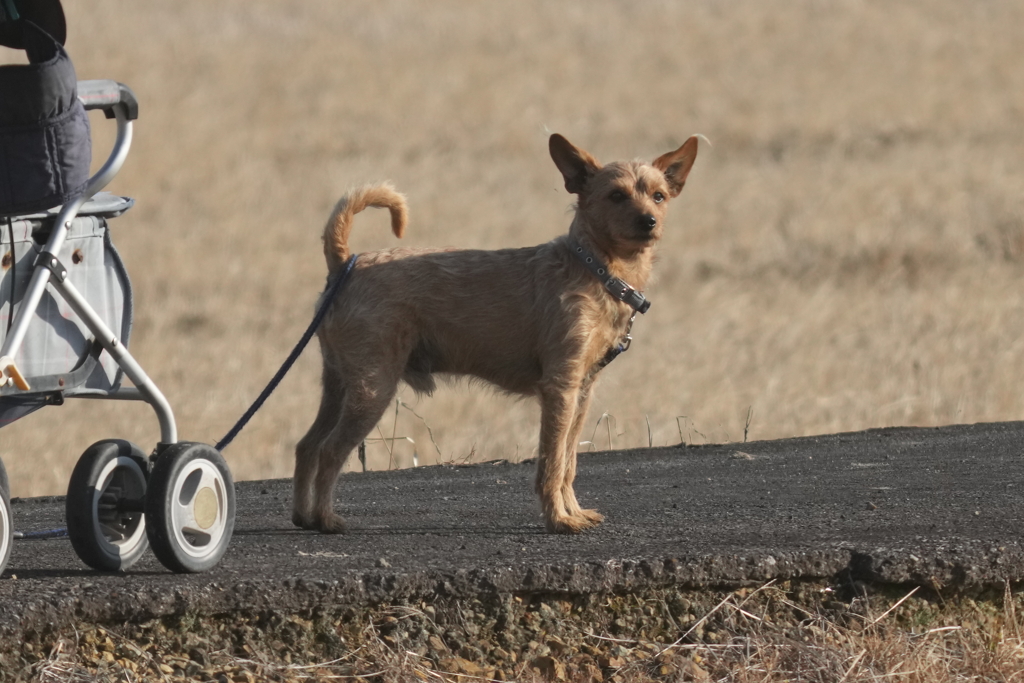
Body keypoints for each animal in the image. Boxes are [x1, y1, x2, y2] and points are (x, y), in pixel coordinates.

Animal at [292, 133, 700, 532]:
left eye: (659, 195)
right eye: (616, 195)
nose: (648, 221)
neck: (594, 269)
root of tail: (346, 263)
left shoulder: (581, 392)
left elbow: (569, 461)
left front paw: (573, 511)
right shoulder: (560, 389)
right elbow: (552, 463)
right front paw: (558, 519)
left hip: (340, 384)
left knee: (307, 445)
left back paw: (304, 516)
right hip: (372, 389)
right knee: (330, 450)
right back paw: (326, 520)